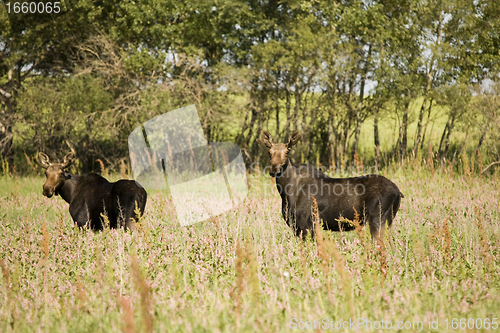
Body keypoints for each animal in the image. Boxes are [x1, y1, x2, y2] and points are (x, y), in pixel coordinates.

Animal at [256, 130, 404, 246]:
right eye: (269, 152)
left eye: (287, 152)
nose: (274, 169)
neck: (287, 193)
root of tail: (398, 192)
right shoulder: (296, 226)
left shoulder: (307, 225)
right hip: (387, 220)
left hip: (378, 218)